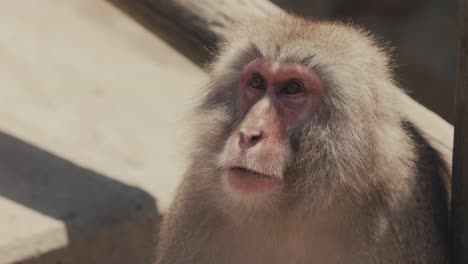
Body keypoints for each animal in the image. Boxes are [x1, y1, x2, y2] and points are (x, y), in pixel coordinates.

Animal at [155, 14, 452, 264]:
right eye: (257, 82)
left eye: (293, 88)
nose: (249, 134)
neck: (290, 212)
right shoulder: (197, 197)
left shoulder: (398, 207)